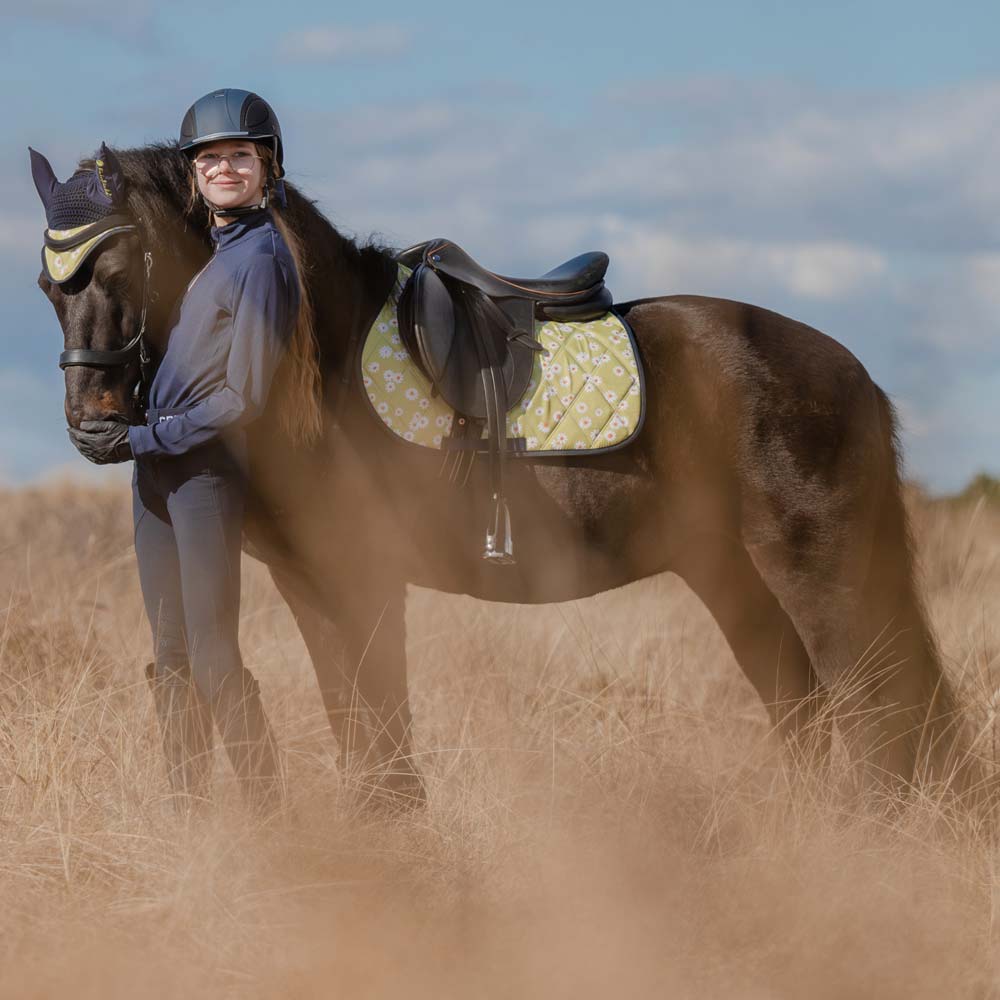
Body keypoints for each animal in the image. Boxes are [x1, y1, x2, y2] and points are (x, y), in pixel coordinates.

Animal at [29, 143, 968, 796]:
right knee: (808, 709)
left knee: (879, 713)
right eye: (47, 286)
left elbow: (382, 735)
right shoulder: (311, 583)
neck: (313, 363)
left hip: (822, 570)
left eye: (118, 267)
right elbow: (358, 729)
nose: (95, 426)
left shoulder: (363, 578)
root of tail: (849, 371)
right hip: (731, 577)